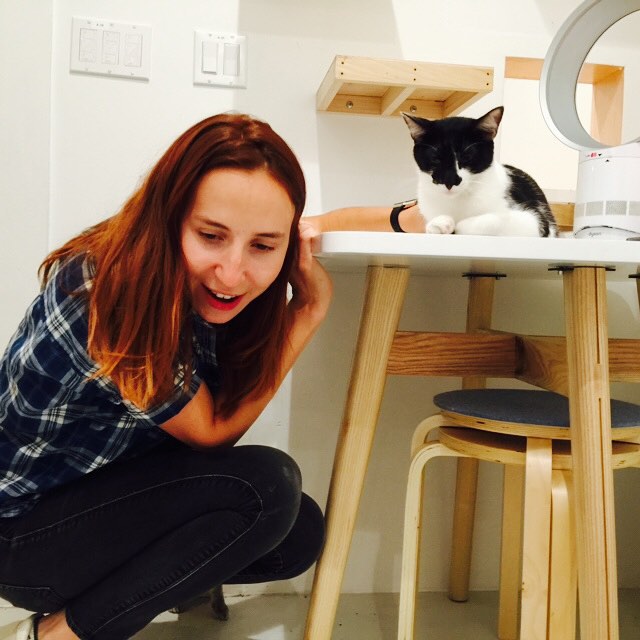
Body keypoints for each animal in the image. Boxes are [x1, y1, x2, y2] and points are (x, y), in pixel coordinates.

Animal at [402, 106, 557, 237]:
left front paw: (455, 225)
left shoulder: (535, 221)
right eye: (435, 159)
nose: (450, 181)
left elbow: (494, 220)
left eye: (467, 157)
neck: (457, 201)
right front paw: (438, 223)